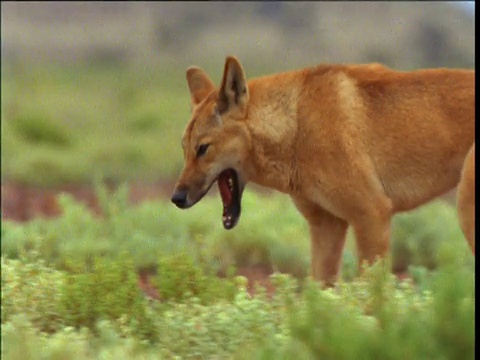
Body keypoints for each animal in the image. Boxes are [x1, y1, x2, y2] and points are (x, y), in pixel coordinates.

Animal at [171, 56, 474, 286]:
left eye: (203, 148)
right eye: (183, 148)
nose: (176, 198)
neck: (297, 126)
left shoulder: (372, 215)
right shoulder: (327, 226)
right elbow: (319, 295)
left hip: (464, 211)